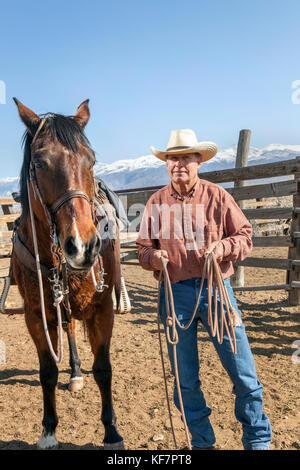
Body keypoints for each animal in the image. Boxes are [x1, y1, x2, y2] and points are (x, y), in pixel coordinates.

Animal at [10, 98, 123, 448]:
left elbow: (103, 369)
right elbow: (46, 371)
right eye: (39, 162)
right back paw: (73, 372)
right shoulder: (35, 315)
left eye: (91, 160)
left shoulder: (102, 309)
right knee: (70, 329)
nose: (82, 245)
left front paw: (111, 431)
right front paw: (48, 429)